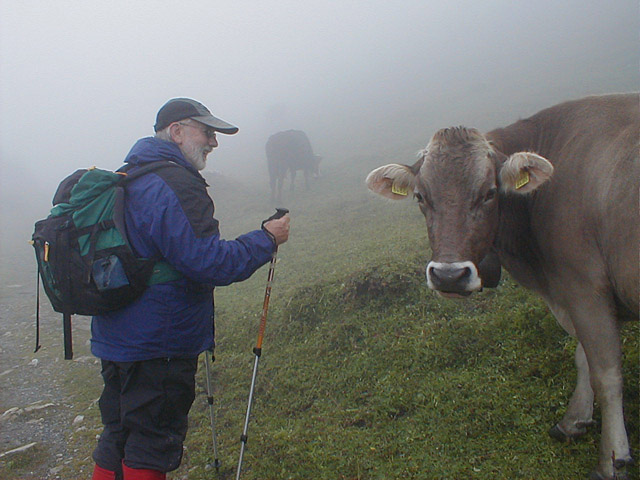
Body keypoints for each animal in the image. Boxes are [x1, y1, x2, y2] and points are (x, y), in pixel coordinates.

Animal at [365, 93, 639, 480]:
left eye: (489, 192)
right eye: (420, 197)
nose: (448, 275)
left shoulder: (583, 285)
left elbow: (606, 373)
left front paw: (612, 459)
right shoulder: (576, 293)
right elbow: (583, 356)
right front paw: (574, 421)